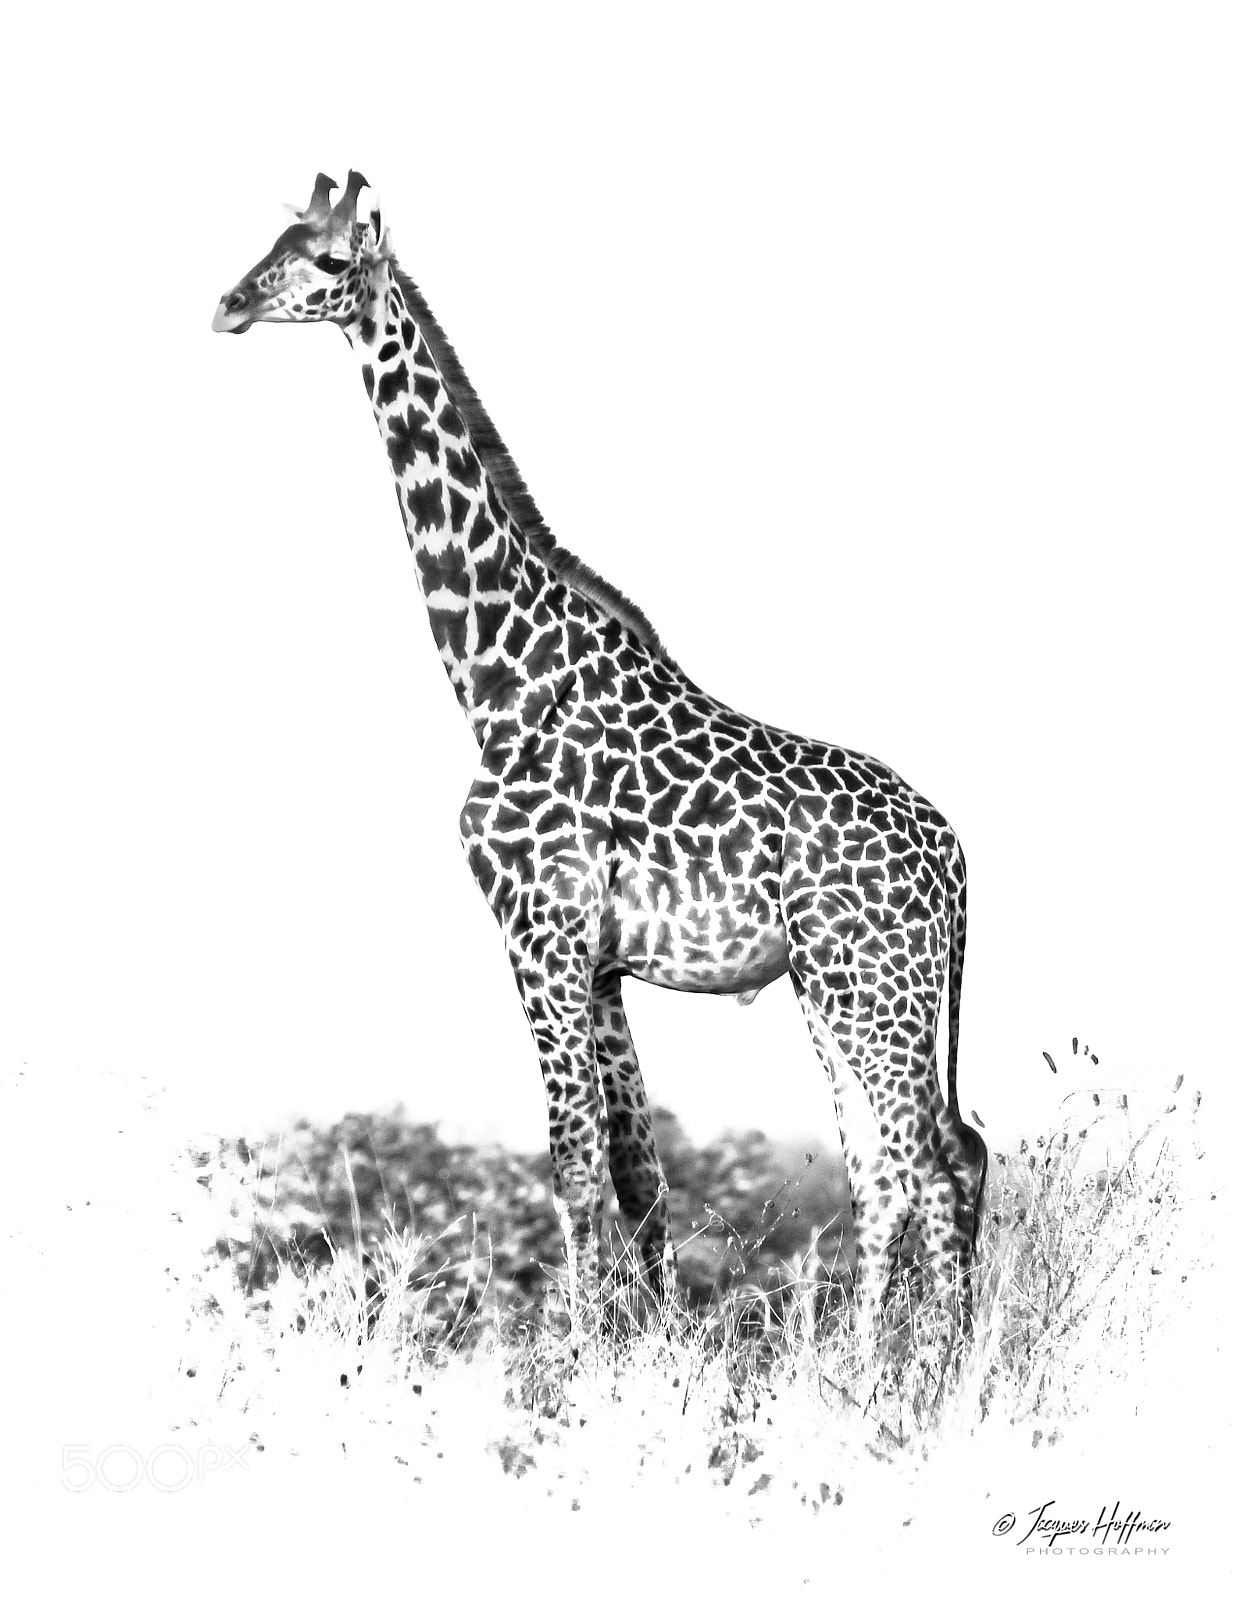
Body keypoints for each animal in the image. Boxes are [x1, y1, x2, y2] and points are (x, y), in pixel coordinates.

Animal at [213, 172, 988, 1340]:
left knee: (929, 1161)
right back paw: (886, 1361)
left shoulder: (538, 926)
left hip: (872, 980)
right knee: (903, 1163)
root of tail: (956, 858)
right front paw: (652, 1343)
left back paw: (918, 1366)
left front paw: (575, 1350)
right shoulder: (605, 958)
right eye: (275, 239)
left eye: (331, 261)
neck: (494, 676)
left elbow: (571, 1161)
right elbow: (637, 1170)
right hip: (837, 985)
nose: (230, 303)